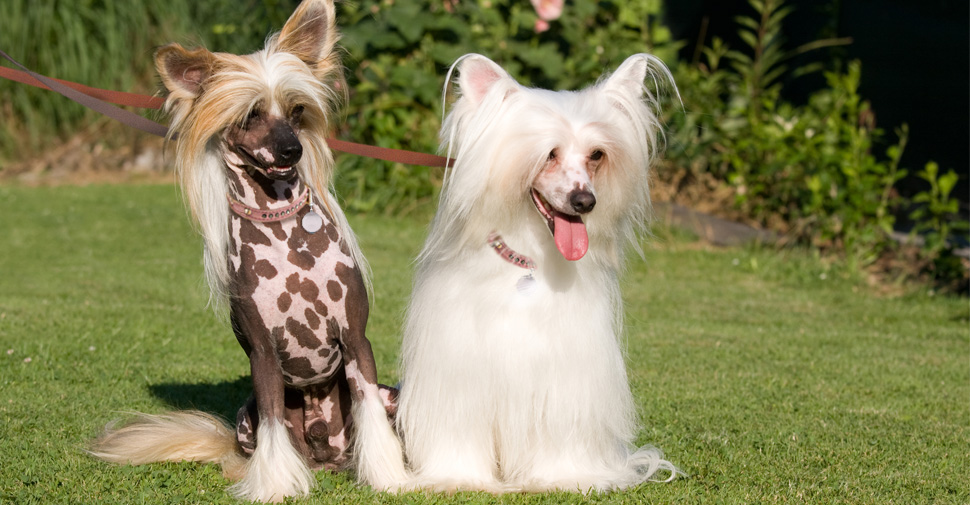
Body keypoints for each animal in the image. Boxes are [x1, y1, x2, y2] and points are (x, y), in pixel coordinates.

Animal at [390, 55, 676, 492]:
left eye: (596, 154)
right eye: (549, 154)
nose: (585, 201)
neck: (530, 261)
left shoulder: (564, 375)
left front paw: (565, 477)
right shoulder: (459, 374)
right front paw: (458, 477)